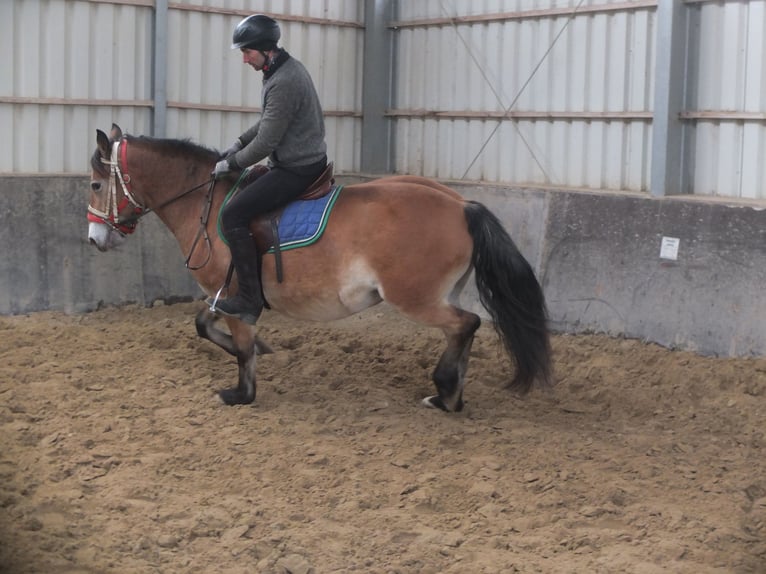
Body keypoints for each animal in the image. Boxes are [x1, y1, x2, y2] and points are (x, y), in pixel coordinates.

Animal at [85, 125, 552, 414]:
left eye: (94, 184)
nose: (94, 239)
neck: (208, 203)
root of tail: (461, 205)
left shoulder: (233, 292)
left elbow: (239, 347)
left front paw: (241, 393)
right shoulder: (223, 295)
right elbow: (205, 325)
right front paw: (261, 350)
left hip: (414, 297)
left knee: (466, 323)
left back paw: (446, 393)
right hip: (439, 292)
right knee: (461, 329)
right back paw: (449, 392)